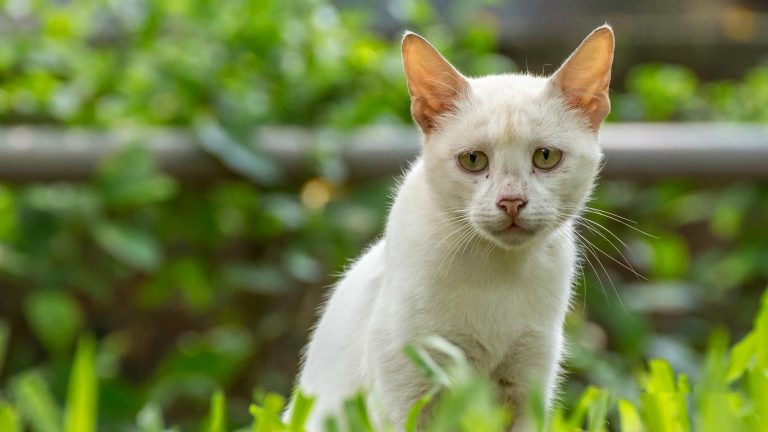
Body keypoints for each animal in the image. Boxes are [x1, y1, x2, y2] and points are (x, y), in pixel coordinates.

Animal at [292, 25, 616, 430]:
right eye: (473, 160)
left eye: (546, 157)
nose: (511, 201)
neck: (498, 277)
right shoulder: (406, 397)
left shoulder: (528, 386)